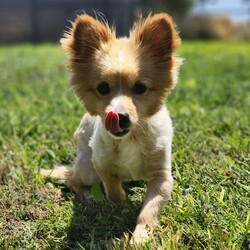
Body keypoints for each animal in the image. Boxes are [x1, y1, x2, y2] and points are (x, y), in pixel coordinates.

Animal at [41, 12, 182, 243]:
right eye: (103, 88)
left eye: (140, 88)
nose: (119, 116)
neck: (131, 138)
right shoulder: (101, 165)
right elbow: (115, 192)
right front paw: (121, 210)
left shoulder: (162, 178)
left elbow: (148, 210)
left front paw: (140, 237)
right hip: (87, 168)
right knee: (73, 181)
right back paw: (89, 195)